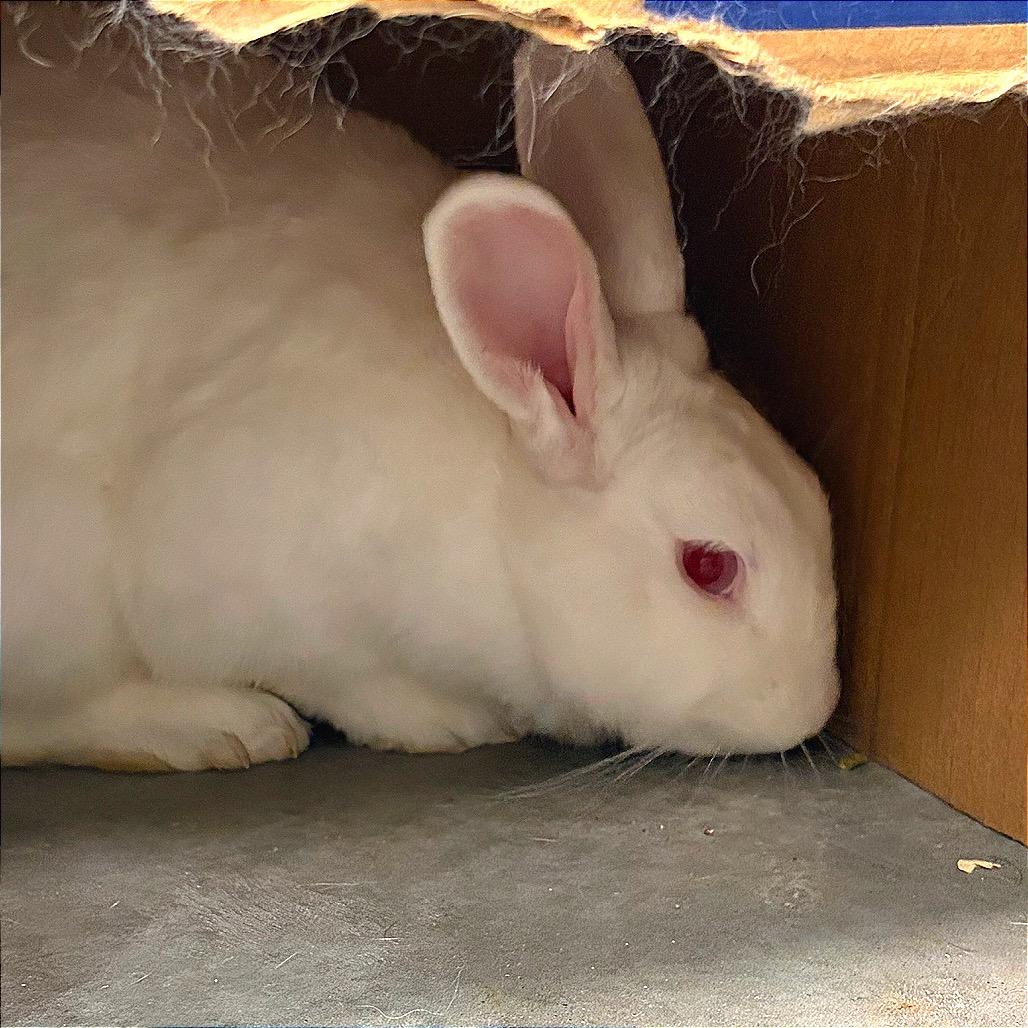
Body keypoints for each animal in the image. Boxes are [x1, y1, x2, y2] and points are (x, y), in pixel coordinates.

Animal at [1, 22, 839, 771]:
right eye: (708, 566)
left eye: (817, 498)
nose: (811, 709)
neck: (496, 502)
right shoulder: (230, 573)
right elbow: (342, 677)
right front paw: (443, 722)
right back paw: (227, 727)